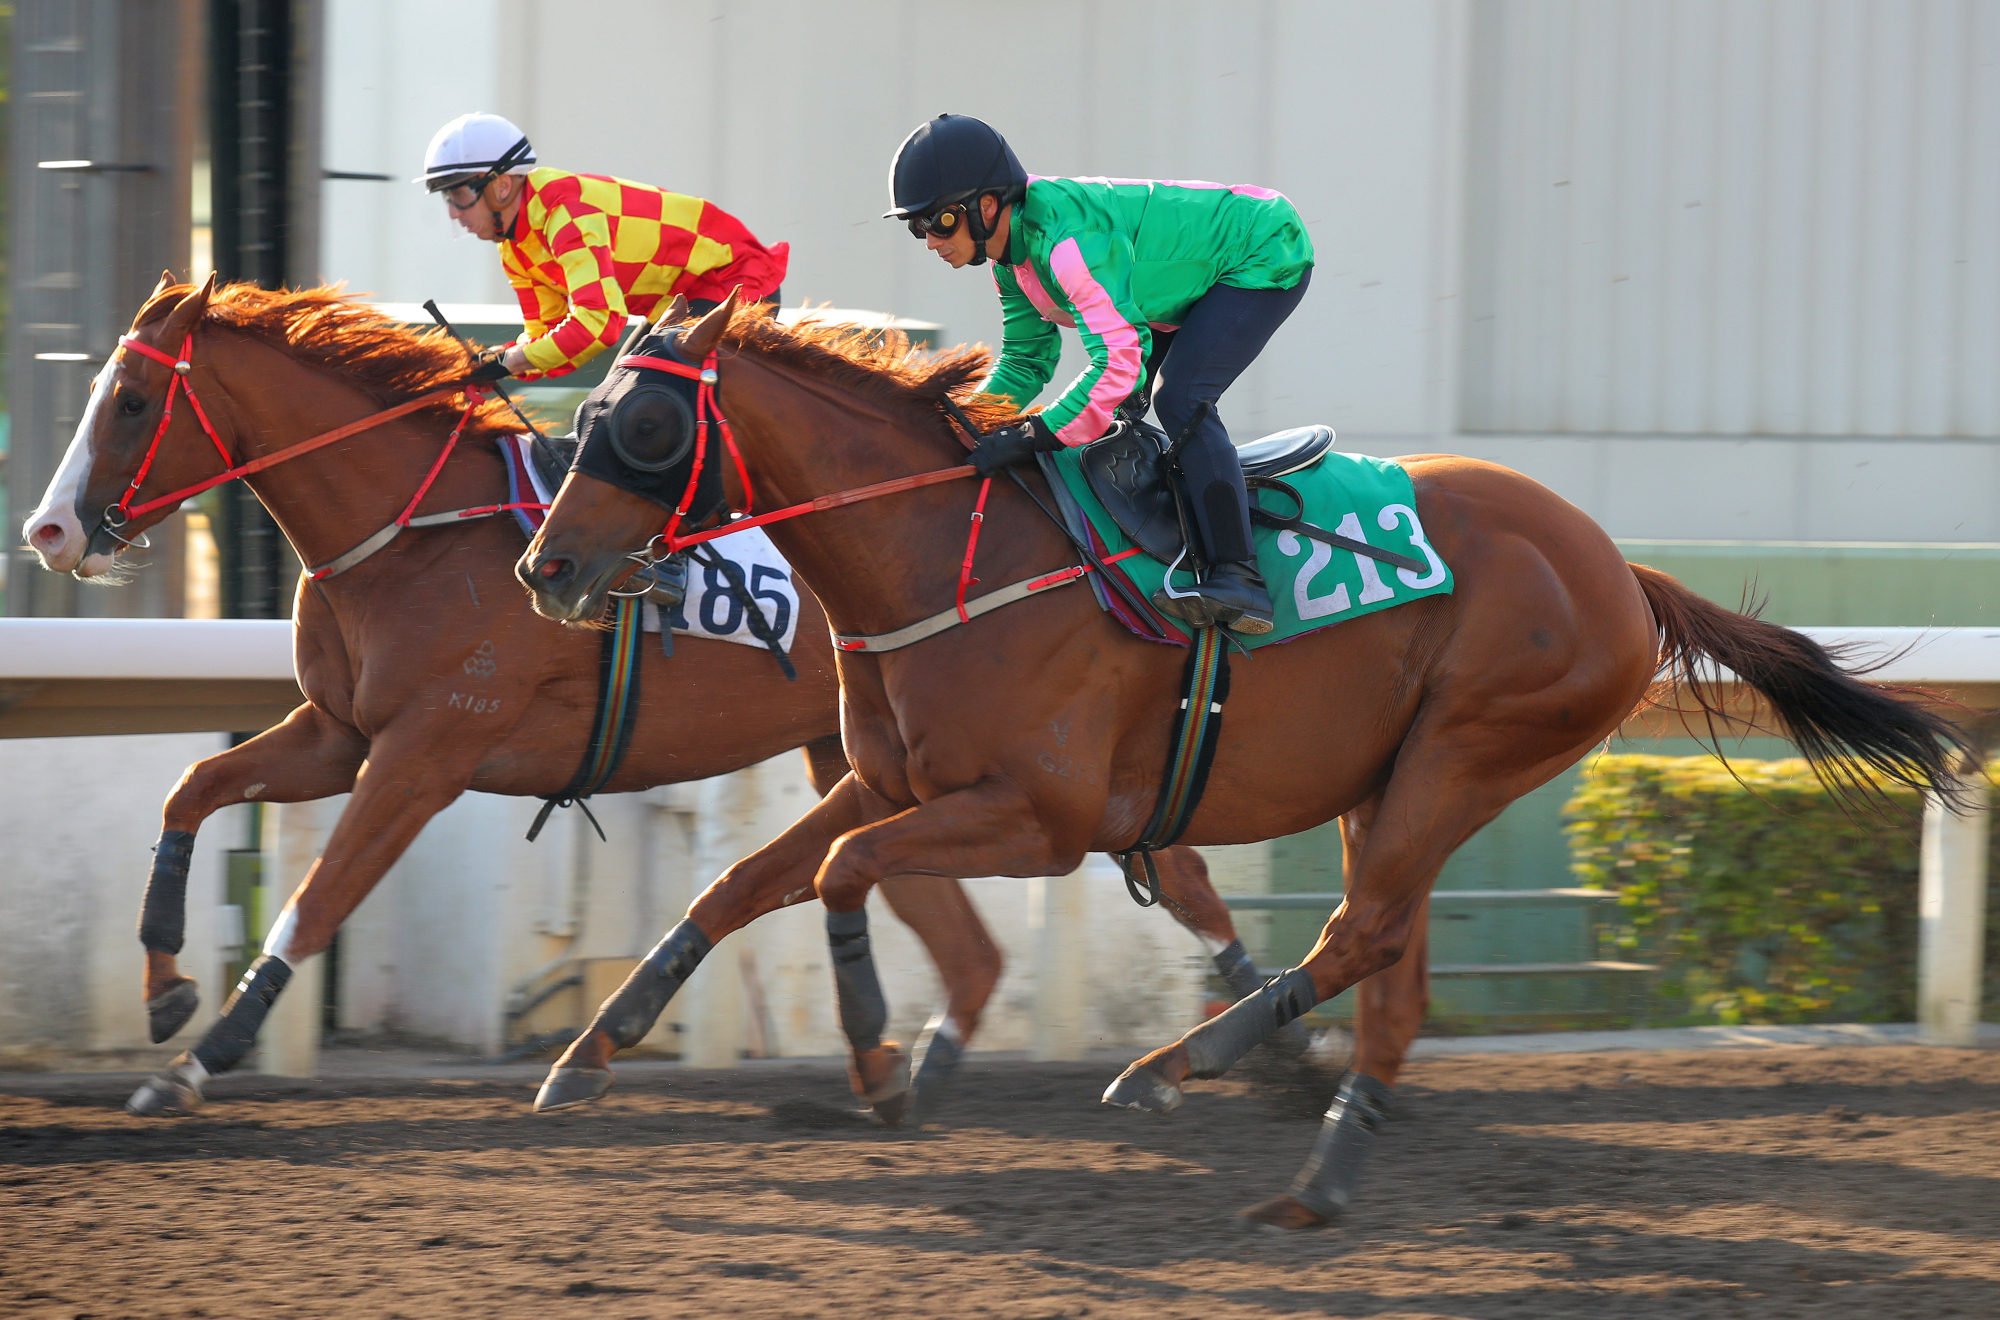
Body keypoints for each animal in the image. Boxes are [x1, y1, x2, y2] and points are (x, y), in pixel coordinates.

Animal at [19, 278, 1344, 1128]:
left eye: (129, 402)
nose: (49, 530)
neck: (410, 525)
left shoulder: (425, 750)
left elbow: (315, 897)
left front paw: (203, 1059)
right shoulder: (338, 734)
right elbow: (194, 788)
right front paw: (167, 990)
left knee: (1141, 883)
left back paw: (1275, 1047)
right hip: (869, 759)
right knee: (1007, 928)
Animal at [516, 296, 1968, 1224]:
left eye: (643, 431)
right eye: (588, 416)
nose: (547, 569)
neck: (947, 558)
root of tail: (1619, 567)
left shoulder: (1037, 817)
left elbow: (840, 877)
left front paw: (877, 1060)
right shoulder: (892, 779)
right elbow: (736, 887)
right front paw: (592, 1049)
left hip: (1469, 749)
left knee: (1360, 937)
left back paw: (1173, 1069)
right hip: (1395, 783)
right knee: (1394, 972)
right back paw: (1320, 1172)